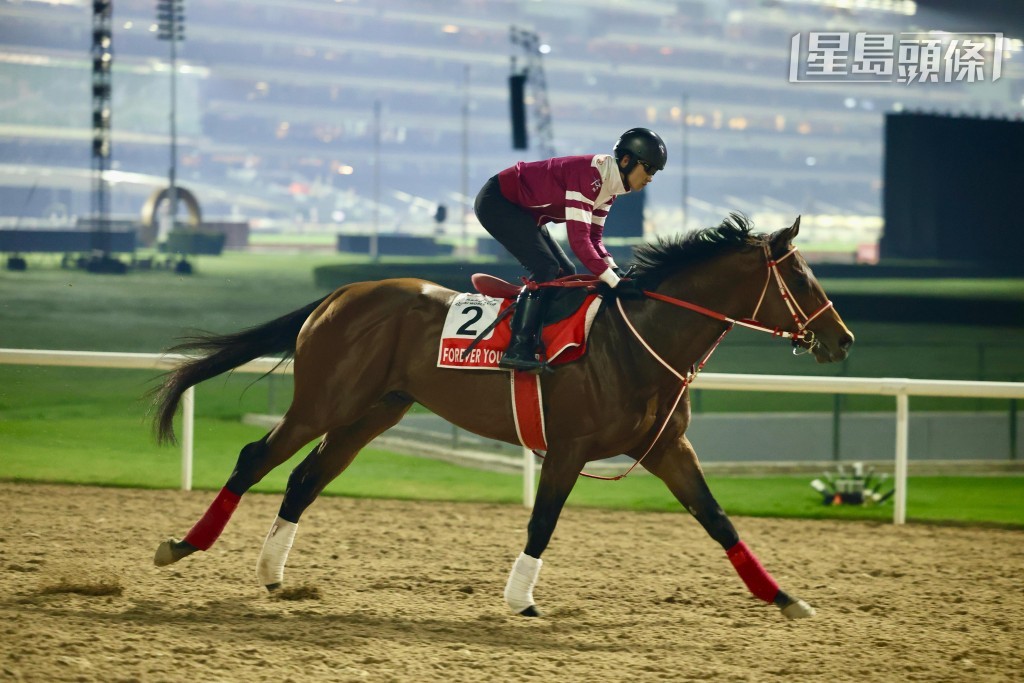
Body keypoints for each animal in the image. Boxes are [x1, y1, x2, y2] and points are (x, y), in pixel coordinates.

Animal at [151, 213, 854, 620]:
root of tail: (340, 292)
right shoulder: (570, 447)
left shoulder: (666, 450)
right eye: (801, 276)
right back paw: (183, 544)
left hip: (374, 411)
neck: (638, 340)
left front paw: (784, 597)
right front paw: (522, 599)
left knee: (305, 478)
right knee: (256, 459)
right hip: (325, 400)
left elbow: (717, 519)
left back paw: (273, 576)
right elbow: (543, 521)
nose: (841, 340)